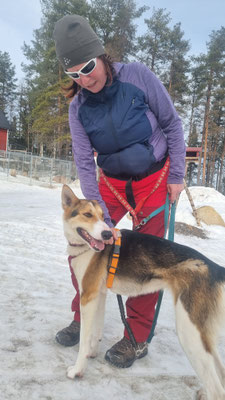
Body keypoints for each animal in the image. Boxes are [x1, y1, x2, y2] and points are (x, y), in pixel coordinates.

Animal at [61, 185, 225, 400]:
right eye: (88, 215)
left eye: (102, 216)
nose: (106, 235)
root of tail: (214, 268)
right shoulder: (99, 295)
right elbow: (96, 332)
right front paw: (92, 353)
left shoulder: (87, 297)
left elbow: (84, 340)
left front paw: (78, 369)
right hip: (204, 339)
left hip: (189, 333)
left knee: (216, 389)